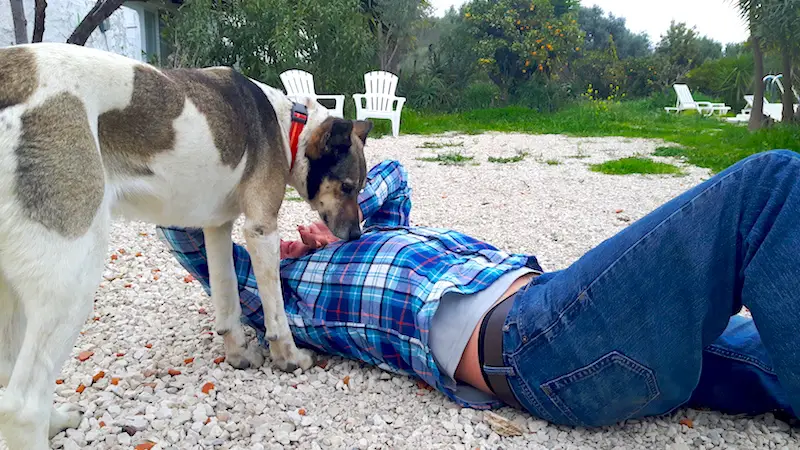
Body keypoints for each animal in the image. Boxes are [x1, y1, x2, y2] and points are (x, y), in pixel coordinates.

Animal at [0, 43, 370, 450]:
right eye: (348, 187)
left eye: (360, 187)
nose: (356, 235)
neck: (289, 124)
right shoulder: (261, 230)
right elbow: (276, 316)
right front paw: (289, 358)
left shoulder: (217, 226)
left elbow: (227, 300)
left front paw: (237, 353)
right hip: (72, 280)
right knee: (23, 405)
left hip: (15, 295)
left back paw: (58, 421)